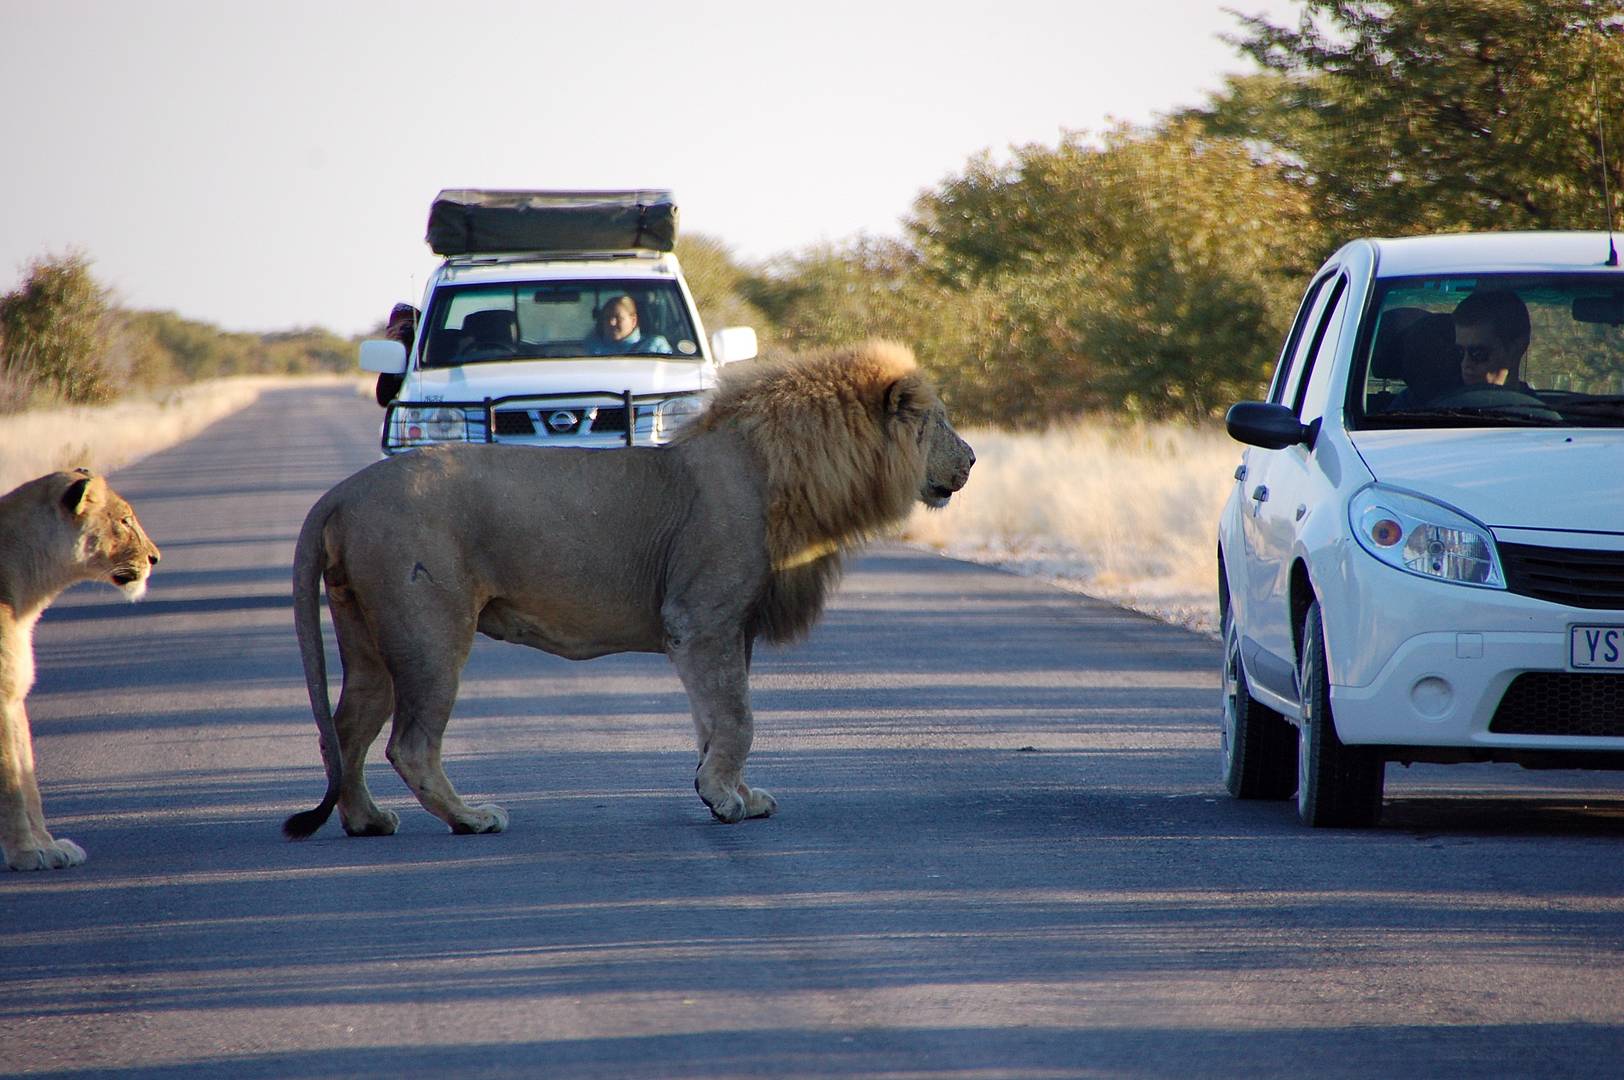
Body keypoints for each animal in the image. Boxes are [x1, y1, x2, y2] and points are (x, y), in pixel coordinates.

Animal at [0, 470, 159, 870]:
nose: (155, 557)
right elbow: (11, 784)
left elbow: (28, 782)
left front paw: (49, 847)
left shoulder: (14, 696)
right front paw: (26, 854)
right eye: (125, 520)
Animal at [284, 341, 967, 838]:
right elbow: (739, 717)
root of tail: (342, 492)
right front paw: (725, 800)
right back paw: (472, 818)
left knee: (347, 729)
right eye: (937, 421)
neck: (784, 474)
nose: (973, 459)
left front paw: (727, 792)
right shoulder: (700, 618)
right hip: (430, 633)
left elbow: (716, 718)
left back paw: (368, 821)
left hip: (367, 636)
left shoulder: (724, 629)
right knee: (409, 744)